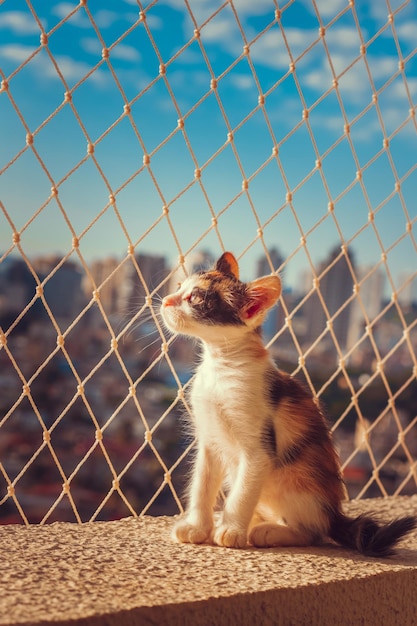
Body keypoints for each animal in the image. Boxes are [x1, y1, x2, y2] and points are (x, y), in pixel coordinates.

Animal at [159, 251, 412, 552]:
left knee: (313, 532)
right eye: (178, 287)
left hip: (298, 486)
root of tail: (334, 514)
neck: (221, 366)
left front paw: (232, 530)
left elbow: (242, 493)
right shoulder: (209, 440)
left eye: (195, 298)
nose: (165, 300)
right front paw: (197, 527)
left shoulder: (259, 448)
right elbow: (202, 485)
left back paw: (267, 531)